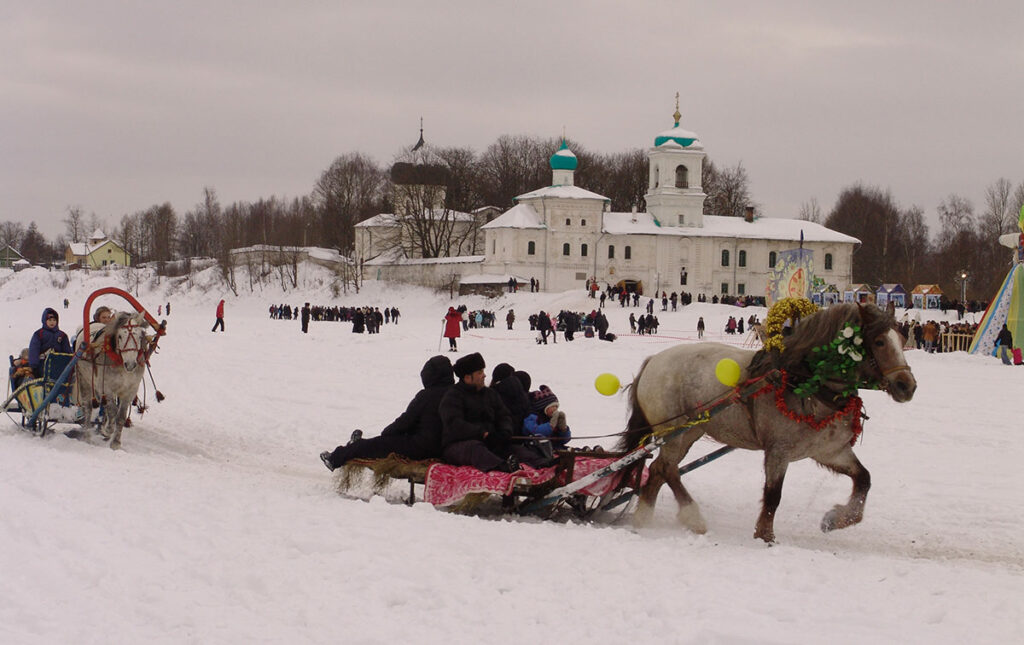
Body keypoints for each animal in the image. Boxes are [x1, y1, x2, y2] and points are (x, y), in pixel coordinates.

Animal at [74, 311, 150, 450]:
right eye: (119, 336)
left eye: (139, 336)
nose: (130, 365)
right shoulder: (107, 388)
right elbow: (112, 411)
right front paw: (108, 429)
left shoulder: (129, 391)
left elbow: (120, 417)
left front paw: (115, 443)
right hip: (84, 380)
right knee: (88, 407)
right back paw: (87, 436)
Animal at [618, 305, 917, 544]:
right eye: (879, 341)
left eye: (903, 338)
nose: (907, 386)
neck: (804, 381)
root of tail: (653, 361)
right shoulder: (778, 451)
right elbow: (773, 496)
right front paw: (765, 536)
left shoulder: (830, 451)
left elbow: (864, 479)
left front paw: (836, 519)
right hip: (674, 431)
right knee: (668, 469)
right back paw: (692, 517)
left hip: (689, 431)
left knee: (659, 468)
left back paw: (644, 517)